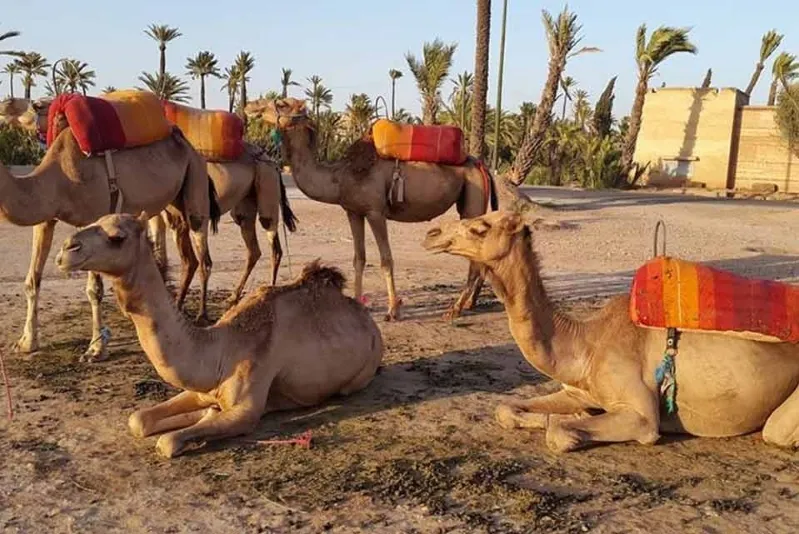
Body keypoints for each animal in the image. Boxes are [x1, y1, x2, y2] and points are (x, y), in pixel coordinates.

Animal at [1, 124, 220, 362]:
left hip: (195, 179)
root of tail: (191, 147)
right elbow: (32, 281)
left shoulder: (94, 216)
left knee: (203, 253)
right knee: (188, 256)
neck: (57, 179)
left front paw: (96, 349)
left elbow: (94, 289)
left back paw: (201, 315)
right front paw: (26, 342)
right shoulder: (45, 219)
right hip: (172, 203)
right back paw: (177, 308)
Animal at [55, 213, 385, 458]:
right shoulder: (203, 389)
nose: (65, 250)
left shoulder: (246, 407)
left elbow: (168, 442)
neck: (221, 348)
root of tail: (368, 319)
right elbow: (138, 420)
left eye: (117, 237)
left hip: (361, 374)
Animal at [148, 148, 298, 313]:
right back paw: (233, 298)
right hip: (245, 205)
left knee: (274, 245)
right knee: (253, 249)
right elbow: (159, 255)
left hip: (267, 185)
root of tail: (274, 164)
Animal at [244, 97, 498, 321]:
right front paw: (358, 303)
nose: (250, 106)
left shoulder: (375, 212)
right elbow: (359, 258)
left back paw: (455, 309)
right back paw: (467, 303)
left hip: (472, 197)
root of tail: (481, 165)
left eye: (281, 102)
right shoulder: (353, 211)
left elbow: (386, 259)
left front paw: (392, 311)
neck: (339, 177)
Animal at [422, 209, 799, 452]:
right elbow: (506, 409)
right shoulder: (578, 389)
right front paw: (575, 414)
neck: (587, 344)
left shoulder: (642, 415)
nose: (431, 234)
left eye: (481, 227)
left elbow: (559, 433)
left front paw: (570, 425)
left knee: (776, 433)